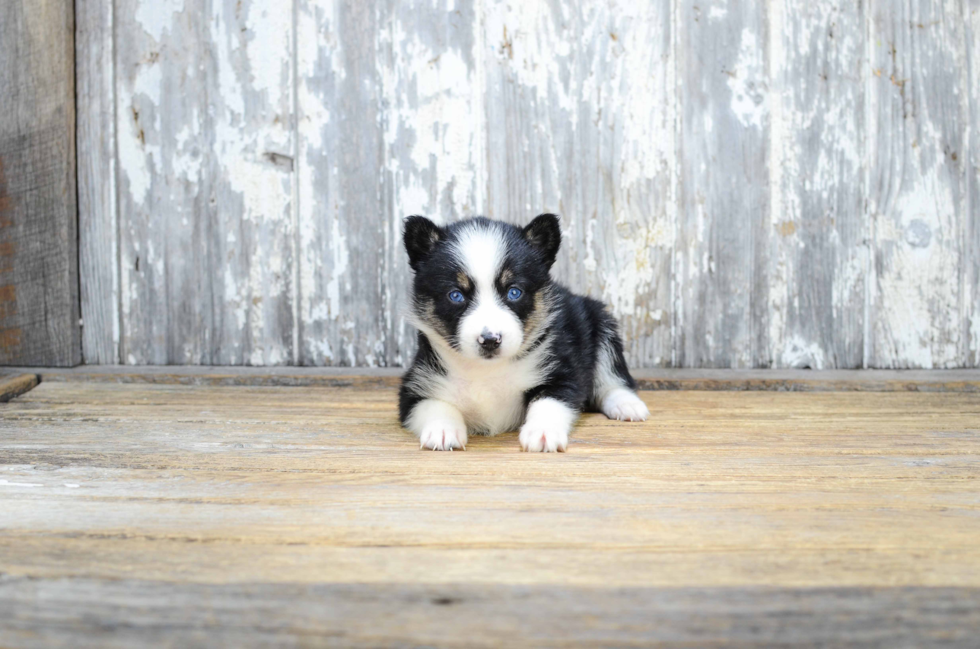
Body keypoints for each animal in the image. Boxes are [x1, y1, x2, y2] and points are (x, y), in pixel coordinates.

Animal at [398, 213, 652, 450]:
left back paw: (627, 405)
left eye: (514, 292)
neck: (487, 370)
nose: (490, 340)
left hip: (600, 323)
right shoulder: (415, 387)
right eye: (456, 295)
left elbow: (549, 401)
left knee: (612, 377)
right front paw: (442, 431)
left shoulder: (563, 374)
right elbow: (435, 405)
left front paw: (543, 432)